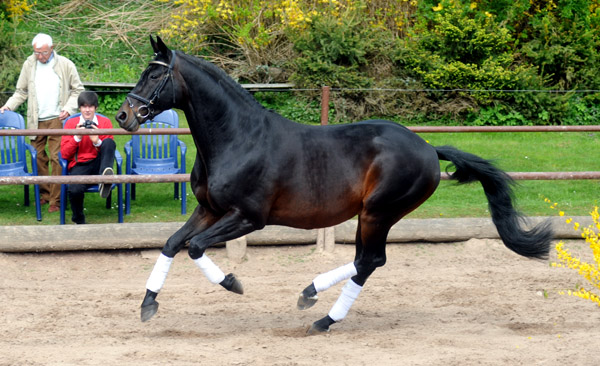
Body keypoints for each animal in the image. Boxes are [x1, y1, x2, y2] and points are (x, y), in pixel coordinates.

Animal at [116, 36, 552, 334]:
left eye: (155, 74)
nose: (124, 116)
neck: (238, 138)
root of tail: (428, 148)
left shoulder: (248, 217)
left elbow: (194, 247)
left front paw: (233, 283)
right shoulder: (209, 209)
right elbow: (173, 243)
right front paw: (148, 305)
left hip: (379, 212)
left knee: (370, 261)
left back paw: (321, 314)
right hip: (369, 215)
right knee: (365, 261)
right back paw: (311, 298)